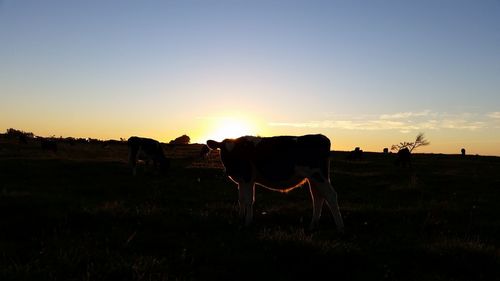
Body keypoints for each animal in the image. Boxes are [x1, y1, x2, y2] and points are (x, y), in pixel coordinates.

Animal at [206, 135, 344, 231]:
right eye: (222, 151)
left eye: (238, 152)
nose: (229, 170)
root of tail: (321, 136)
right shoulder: (241, 181)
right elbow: (241, 200)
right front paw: (240, 219)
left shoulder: (248, 179)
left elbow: (249, 200)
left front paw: (248, 223)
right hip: (313, 178)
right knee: (318, 198)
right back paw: (312, 225)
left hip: (319, 176)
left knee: (331, 196)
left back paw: (340, 227)